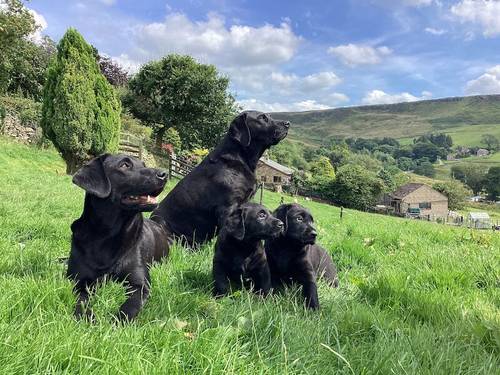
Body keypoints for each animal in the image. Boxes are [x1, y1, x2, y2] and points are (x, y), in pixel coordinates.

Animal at [66, 154, 170, 322]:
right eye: (125, 165)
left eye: (144, 164)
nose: (164, 174)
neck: (107, 235)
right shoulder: (78, 281)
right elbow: (80, 300)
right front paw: (86, 316)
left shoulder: (140, 284)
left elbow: (131, 305)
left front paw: (117, 321)